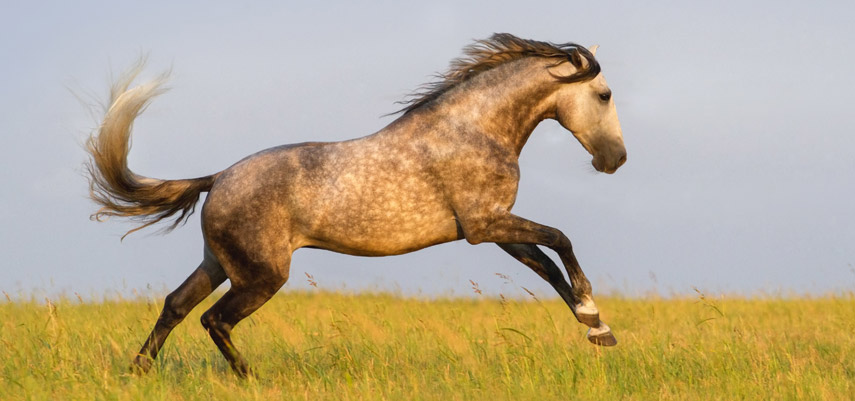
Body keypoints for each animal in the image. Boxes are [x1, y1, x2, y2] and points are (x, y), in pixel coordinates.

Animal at [83, 33, 624, 376]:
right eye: (603, 94)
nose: (615, 159)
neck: (471, 131)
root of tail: (217, 179)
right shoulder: (487, 225)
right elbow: (561, 240)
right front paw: (593, 313)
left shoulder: (495, 230)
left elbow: (547, 268)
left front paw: (597, 329)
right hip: (261, 276)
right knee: (214, 320)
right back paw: (251, 379)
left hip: (218, 263)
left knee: (175, 306)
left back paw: (136, 374)